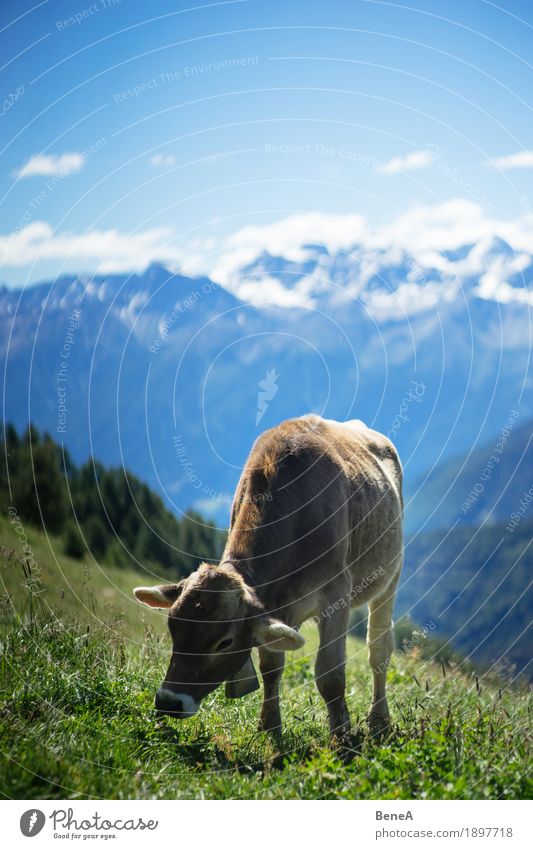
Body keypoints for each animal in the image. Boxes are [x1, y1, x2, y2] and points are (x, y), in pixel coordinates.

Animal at [134, 414, 404, 740]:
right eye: (173, 627)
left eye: (224, 642)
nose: (169, 701)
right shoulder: (270, 605)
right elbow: (271, 665)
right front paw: (269, 725)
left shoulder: (336, 593)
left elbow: (330, 675)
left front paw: (341, 737)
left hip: (391, 575)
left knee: (379, 647)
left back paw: (379, 720)